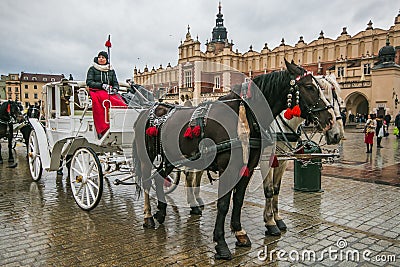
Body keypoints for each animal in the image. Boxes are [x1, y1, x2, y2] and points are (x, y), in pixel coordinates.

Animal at [133, 60, 336, 260]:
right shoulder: (228, 168)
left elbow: (238, 199)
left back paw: (161, 212)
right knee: (147, 181)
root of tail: (151, 109)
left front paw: (240, 233)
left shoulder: (248, 167)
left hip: (172, 157)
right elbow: (223, 204)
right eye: (309, 87)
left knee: (160, 177)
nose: (330, 120)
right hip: (148, 156)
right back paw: (148, 217)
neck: (245, 116)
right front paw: (221, 244)